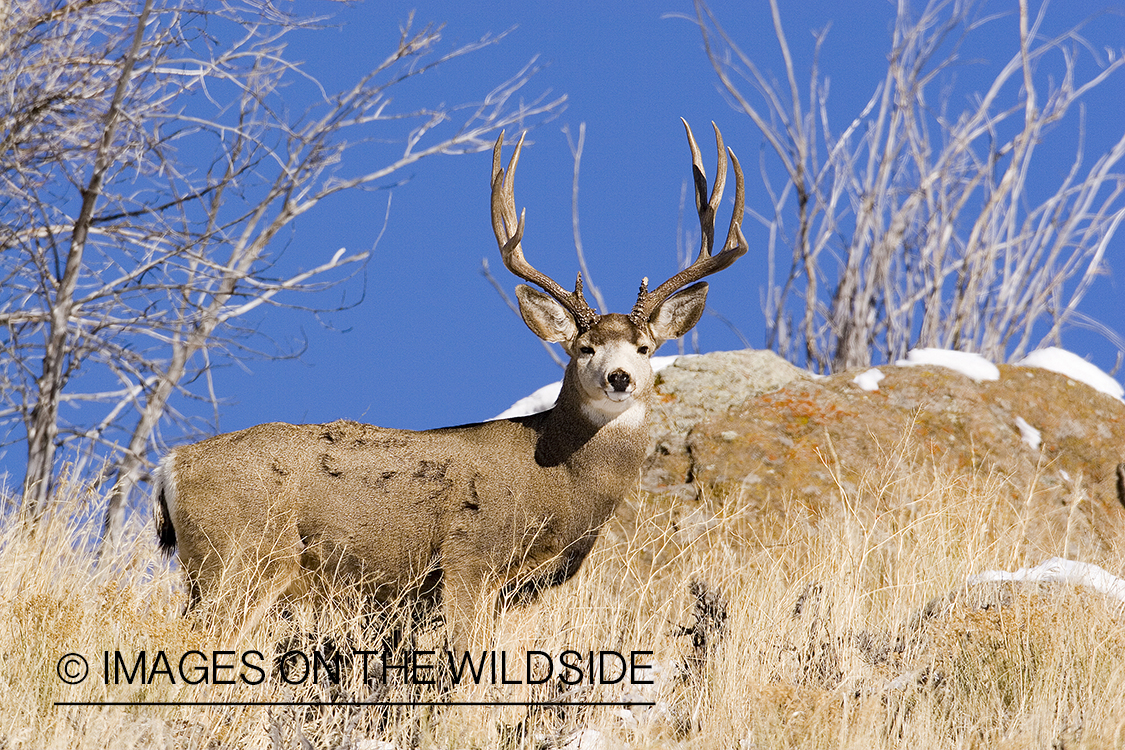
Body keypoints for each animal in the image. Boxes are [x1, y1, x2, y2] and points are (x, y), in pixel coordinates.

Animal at [151, 117, 747, 652]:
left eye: (646, 348)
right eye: (583, 348)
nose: (618, 377)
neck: (555, 480)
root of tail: (170, 465)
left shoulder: (516, 593)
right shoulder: (468, 560)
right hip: (242, 560)